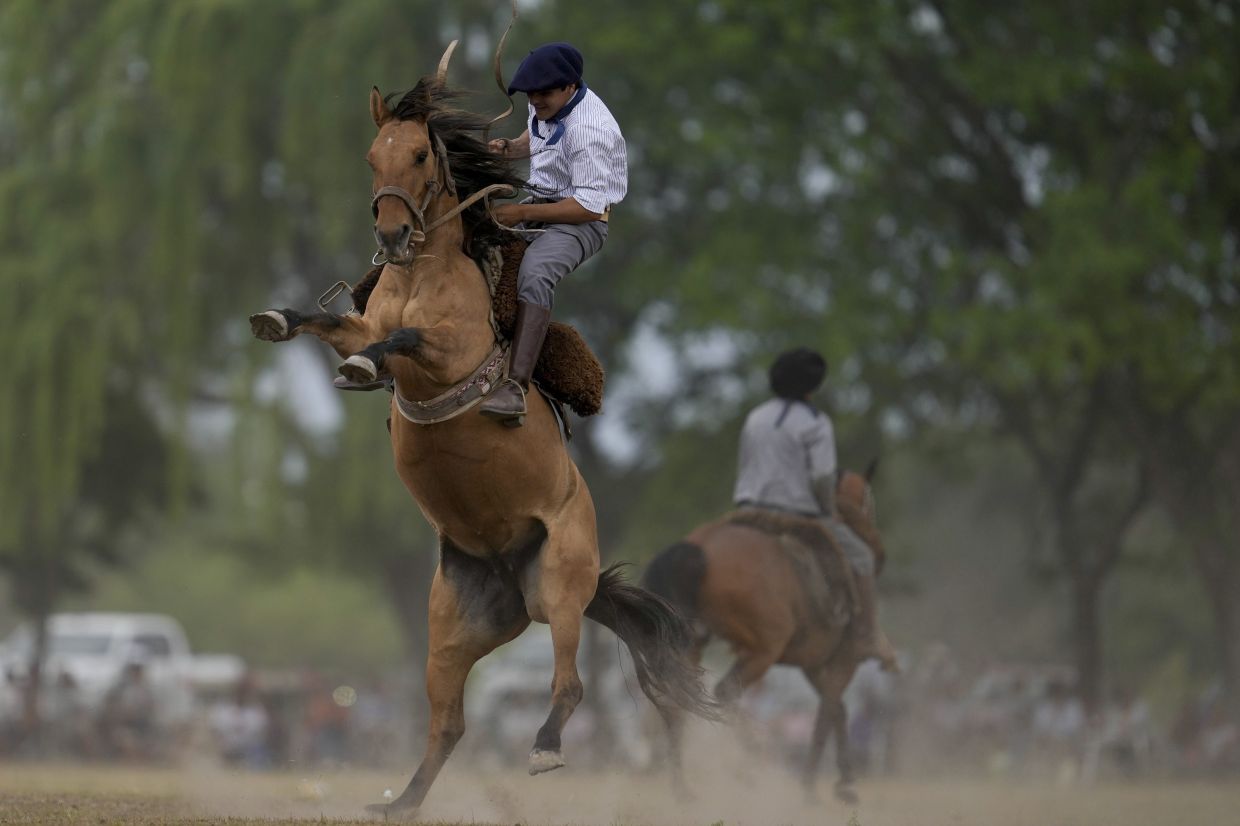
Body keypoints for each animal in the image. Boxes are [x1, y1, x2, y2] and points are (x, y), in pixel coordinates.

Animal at [246, 48, 714, 813]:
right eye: (372, 156)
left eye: (418, 156)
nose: (390, 236)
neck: (425, 274)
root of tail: (510, 568)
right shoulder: (366, 321)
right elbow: (332, 323)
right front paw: (280, 320)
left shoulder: (447, 351)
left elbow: (405, 339)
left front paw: (363, 366)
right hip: (451, 632)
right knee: (450, 725)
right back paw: (399, 804)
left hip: (561, 586)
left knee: (570, 684)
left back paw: (544, 748)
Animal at [644, 466, 887, 798]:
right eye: (868, 502)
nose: (880, 553)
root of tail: (699, 546)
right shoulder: (843, 659)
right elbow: (829, 710)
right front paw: (816, 786)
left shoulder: (812, 664)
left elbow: (836, 707)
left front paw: (841, 780)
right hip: (763, 650)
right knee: (724, 693)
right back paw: (756, 757)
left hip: (690, 646)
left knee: (676, 702)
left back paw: (683, 788)